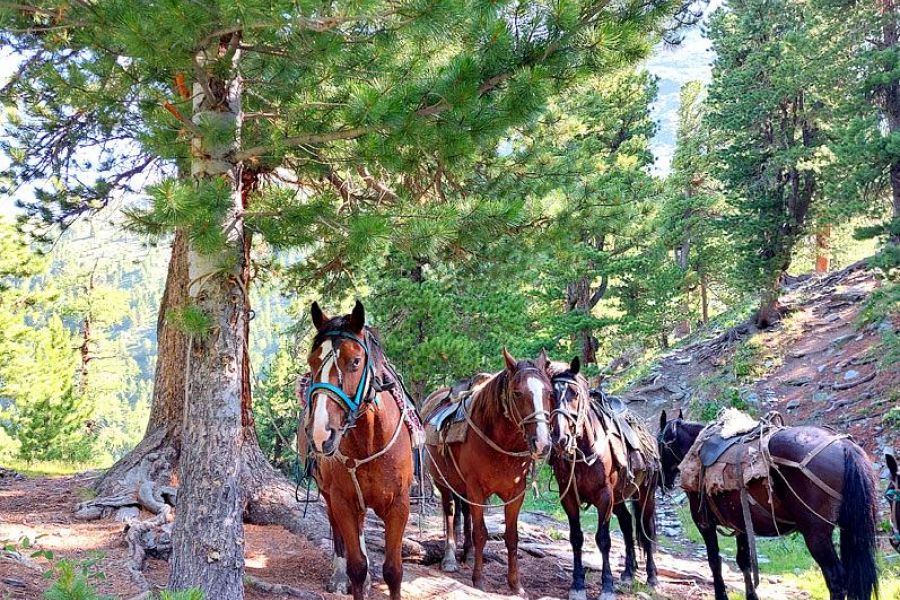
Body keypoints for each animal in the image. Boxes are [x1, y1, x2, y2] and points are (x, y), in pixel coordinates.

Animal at [424, 346, 556, 596]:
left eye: (550, 392)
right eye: (517, 393)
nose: (543, 444)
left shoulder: (515, 494)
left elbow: (512, 537)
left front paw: (516, 585)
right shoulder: (476, 490)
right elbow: (481, 533)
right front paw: (478, 580)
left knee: (464, 514)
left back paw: (467, 554)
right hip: (443, 483)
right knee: (449, 514)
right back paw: (450, 559)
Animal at [544, 358, 656, 596]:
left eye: (574, 394)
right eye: (550, 394)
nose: (560, 438)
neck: (584, 450)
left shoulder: (604, 496)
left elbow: (603, 540)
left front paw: (607, 585)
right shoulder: (569, 497)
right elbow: (576, 538)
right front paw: (577, 584)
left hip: (645, 495)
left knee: (646, 528)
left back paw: (652, 577)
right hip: (619, 498)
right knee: (626, 523)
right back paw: (628, 573)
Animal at [652, 408, 880, 600]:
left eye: (659, 442)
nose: (661, 480)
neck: (696, 447)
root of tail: (845, 447)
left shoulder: (703, 522)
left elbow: (714, 561)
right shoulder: (741, 525)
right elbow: (743, 562)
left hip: (816, 534)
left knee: (835, 578)